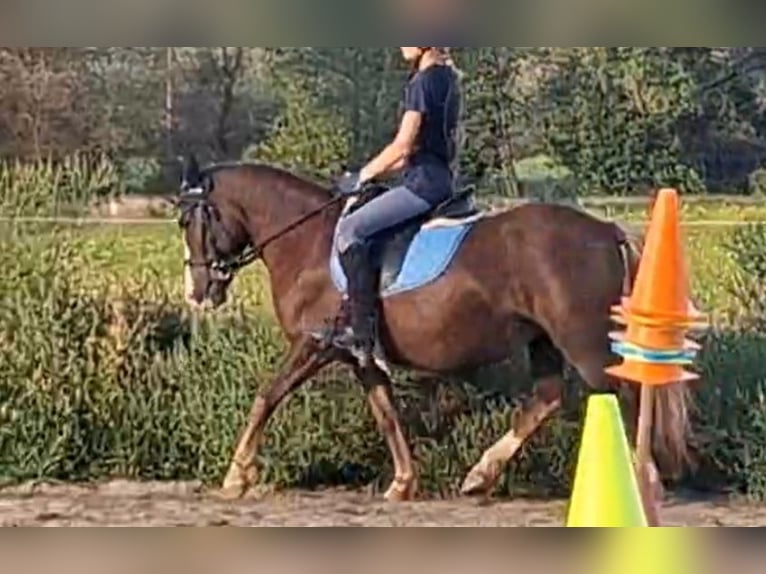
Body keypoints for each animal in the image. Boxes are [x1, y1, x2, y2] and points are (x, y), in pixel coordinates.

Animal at [175, 154, 694, 502]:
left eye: (187, 220)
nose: (197, 292)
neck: (307, 242)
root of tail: (606, 230)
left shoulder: (314, 343)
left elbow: (267, 395)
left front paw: (236, 474)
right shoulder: (360, 355)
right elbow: (386, 412)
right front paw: (403, 483)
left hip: (583, 342)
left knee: (624, 394)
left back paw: (644, 481)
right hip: (544, 339)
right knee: (546, 398)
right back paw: (480, 475)